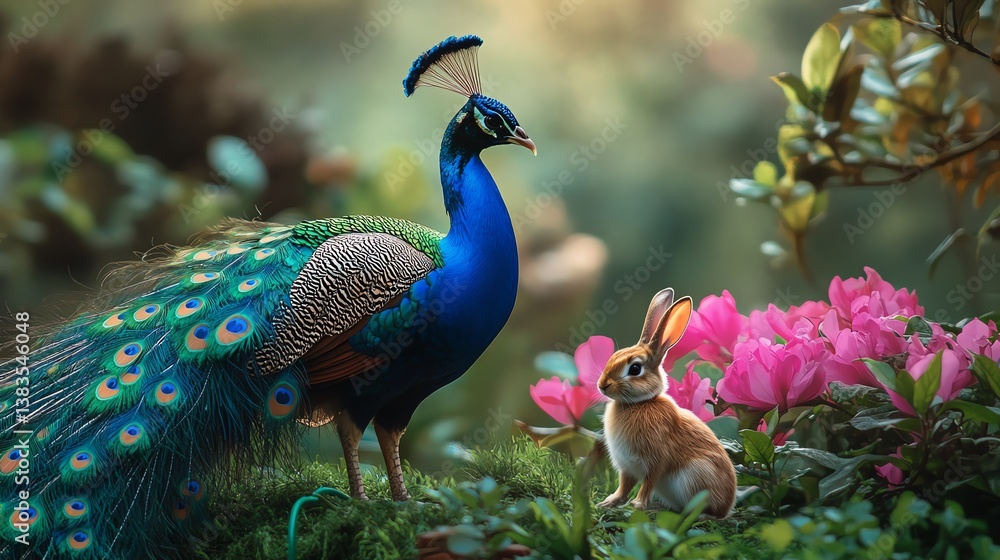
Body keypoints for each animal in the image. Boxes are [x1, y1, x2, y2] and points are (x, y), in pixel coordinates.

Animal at [596, 288, 736, 518]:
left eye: (634, 369)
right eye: (614, 356)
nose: (602, 385)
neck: (638, 403)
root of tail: (727, 506)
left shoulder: (656, 460)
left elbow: (648, 483)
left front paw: (638, 505)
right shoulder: (626, 467)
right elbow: (624, 486)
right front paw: (609, 502)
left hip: (696, 475)